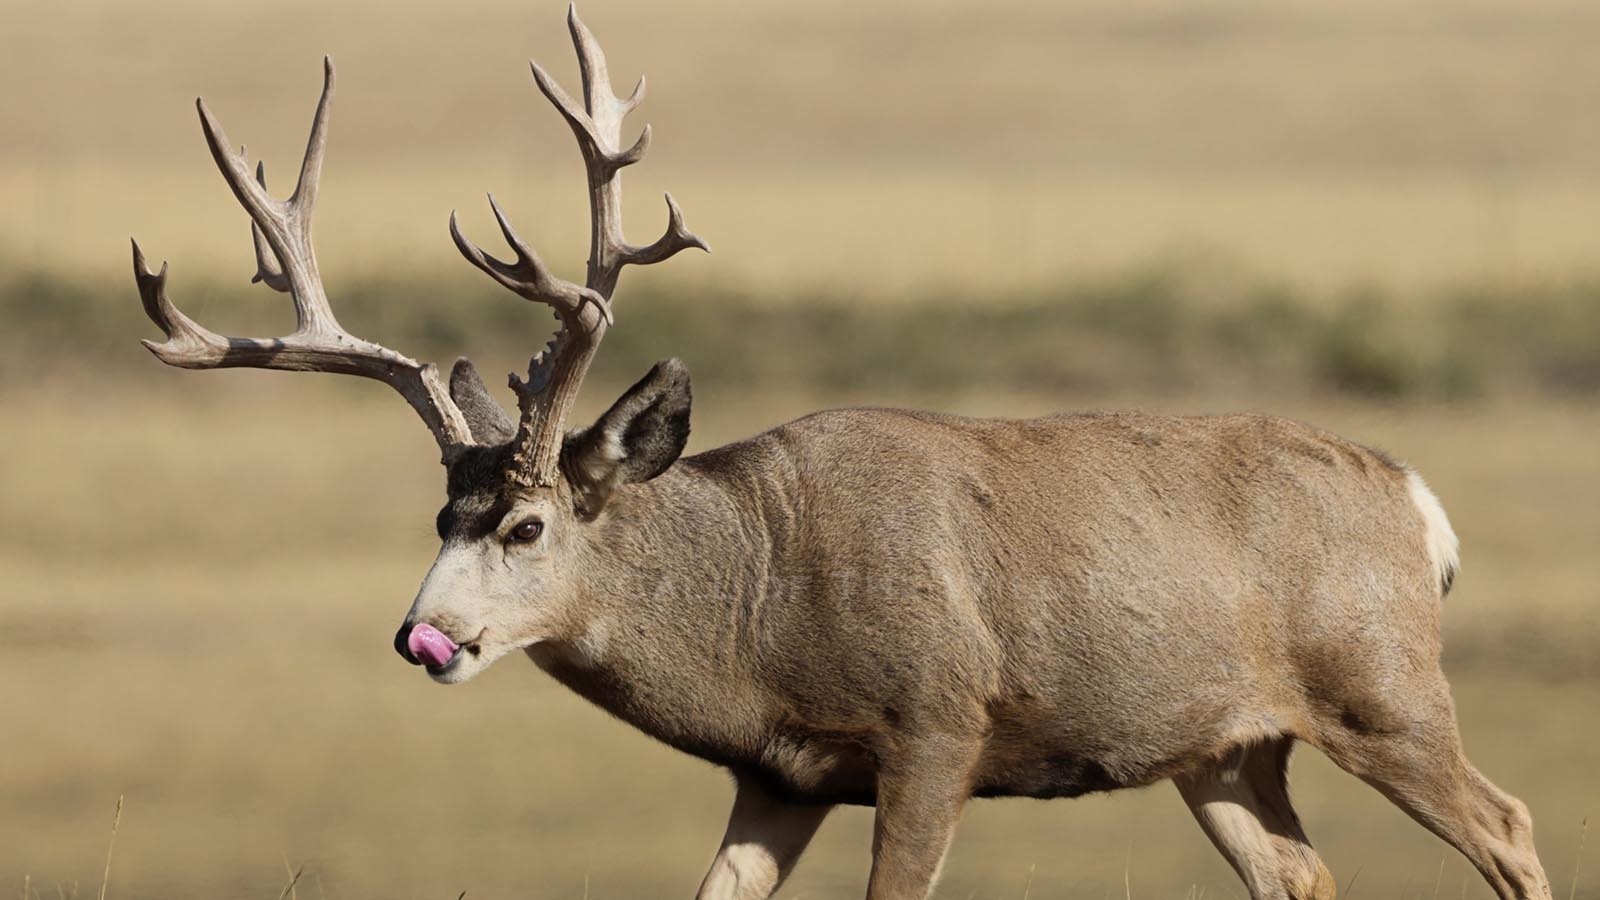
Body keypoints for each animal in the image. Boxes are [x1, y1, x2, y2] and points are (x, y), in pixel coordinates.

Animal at [129, 8, 1553, 900]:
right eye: (438, 520)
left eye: (527, 525)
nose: (422, 638)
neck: (760, 603)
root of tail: (1419, 504)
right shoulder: (779, 772)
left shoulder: (935, 724)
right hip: (1221, 745)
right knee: (1302, 872)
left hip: (1382, 686)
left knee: (1510, 826)